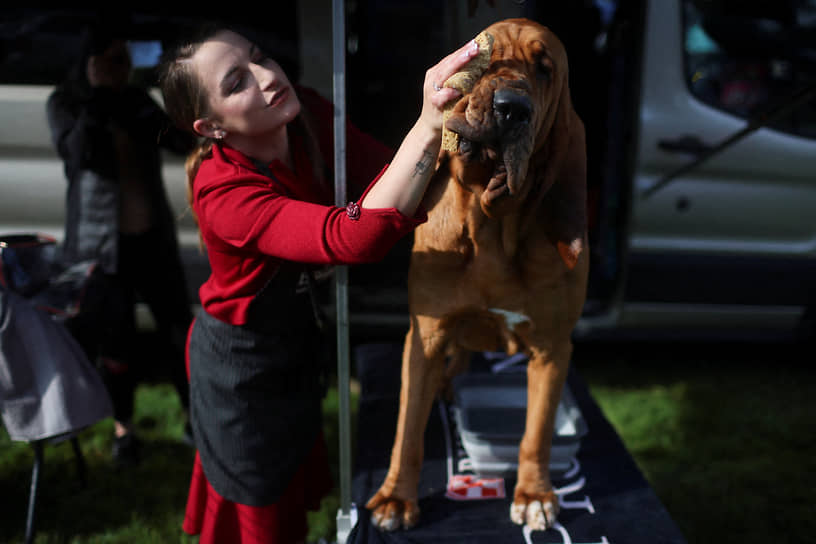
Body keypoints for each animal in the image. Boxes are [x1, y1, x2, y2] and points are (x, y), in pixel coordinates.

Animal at [366, 18, 588, 532]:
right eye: (487, 61)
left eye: (544, 70)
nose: (512, 109)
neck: (493, 226)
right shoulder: (425, 337)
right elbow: (408, 429)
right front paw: (395, 499)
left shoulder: (552, 347)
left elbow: (537, 431)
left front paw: (535, 494)